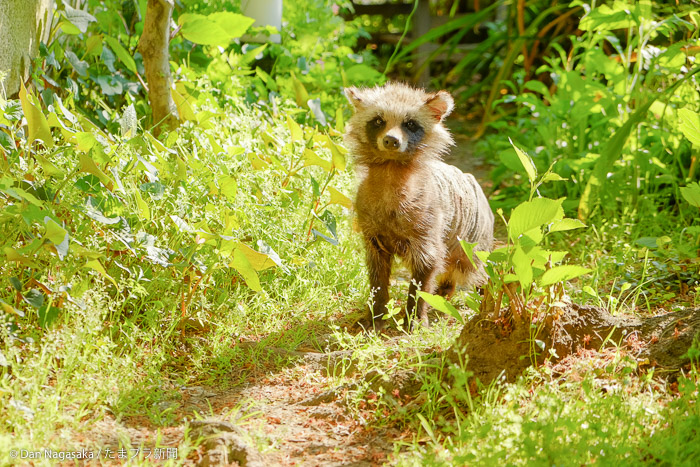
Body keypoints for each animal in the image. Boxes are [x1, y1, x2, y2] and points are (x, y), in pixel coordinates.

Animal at [344, 81, 492, 330]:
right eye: (378, 121)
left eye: (410, 124)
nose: (391, 140)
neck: (391, 169)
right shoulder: (371, 228)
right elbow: (377, 274)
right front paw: (376, 313)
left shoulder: (428, 223)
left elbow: (427, 269)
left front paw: (415, 314)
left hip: (473, 236)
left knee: (477, 266)